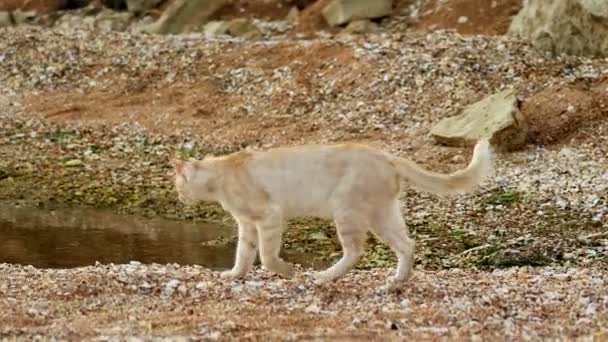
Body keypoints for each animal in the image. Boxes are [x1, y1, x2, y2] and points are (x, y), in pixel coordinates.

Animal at [172, 140, 494, 290]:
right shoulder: (247, 225)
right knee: (407, 245)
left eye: (177, 184)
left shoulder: (268, 217)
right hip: (382, 215)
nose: (178, 197)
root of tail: (386, 156)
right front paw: (235, 275)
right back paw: (396, 282)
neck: (221, 173)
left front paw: (289, 272)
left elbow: (267, 256)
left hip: (347, 210)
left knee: (355, 251)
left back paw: (323, 277)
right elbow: (243, 253)